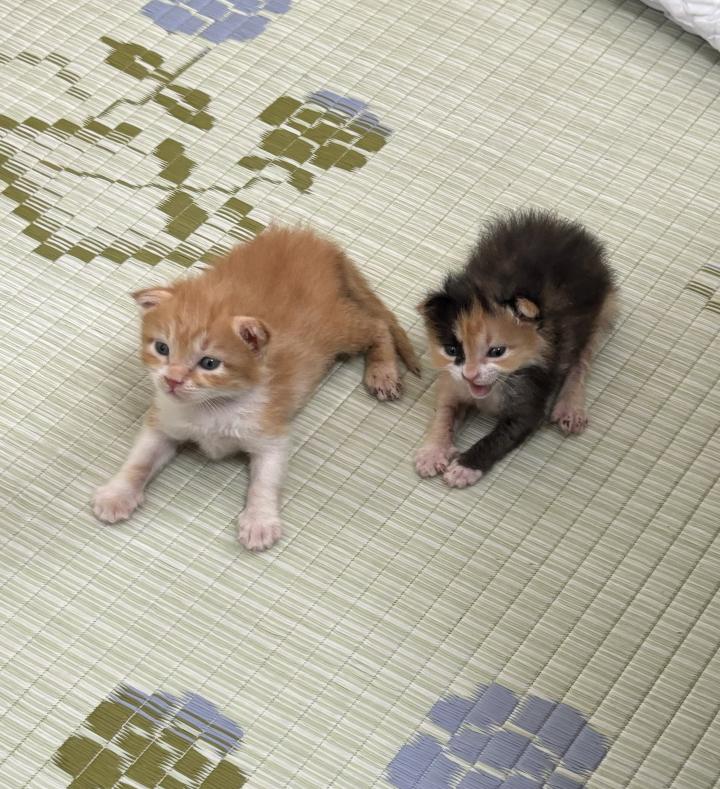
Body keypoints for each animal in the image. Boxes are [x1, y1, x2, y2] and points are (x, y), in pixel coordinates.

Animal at [92, 226, 420, 550]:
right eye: (162, 348)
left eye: (209, 363)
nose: (172, 380)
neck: (213, 406)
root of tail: (316, 240)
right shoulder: (164, 420)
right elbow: (140, 458)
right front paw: (117, 494)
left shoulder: (272, 434)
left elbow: (265, 482)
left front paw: (260, 522)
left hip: (336, 328)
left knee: (377, 325)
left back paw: (382, 373)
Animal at [415, 209, 618, 488]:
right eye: (453, 350)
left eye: (497, 352)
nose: (470, 374)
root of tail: (560, 225)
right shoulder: (452, 382)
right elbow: (444, 412)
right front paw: (433, 451)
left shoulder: (529, 401)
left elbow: (498, 438)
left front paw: (464, 468)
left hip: (601, 308)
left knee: (580, 358)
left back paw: (570, 407)